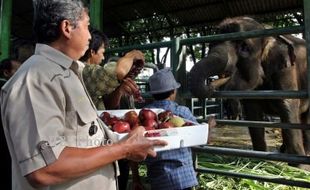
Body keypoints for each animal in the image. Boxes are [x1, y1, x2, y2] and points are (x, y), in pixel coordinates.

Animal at [188, 16, 308, 168]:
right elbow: (253, 114)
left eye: (244, 47)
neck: (266, 32)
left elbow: (287, 107)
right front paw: (260, 161)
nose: (211, 84)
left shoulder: (286, 70)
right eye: (211, 44)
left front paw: (300, 168)